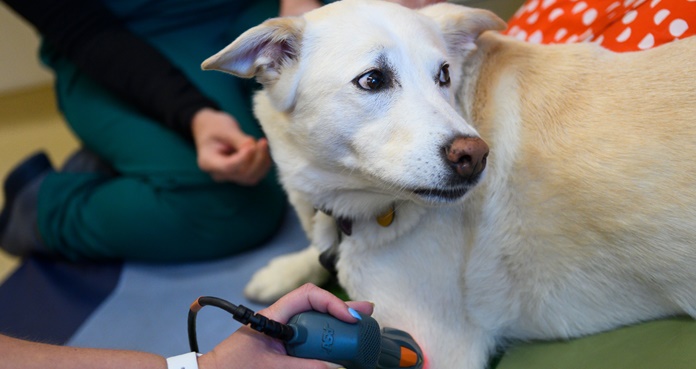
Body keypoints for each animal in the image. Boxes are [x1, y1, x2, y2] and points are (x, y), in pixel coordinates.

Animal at [204, 1, 696, 366]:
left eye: (443, 75)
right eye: (372, 80)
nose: (474, 157)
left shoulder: (428, 346)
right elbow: (317, 251)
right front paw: (285, 269)